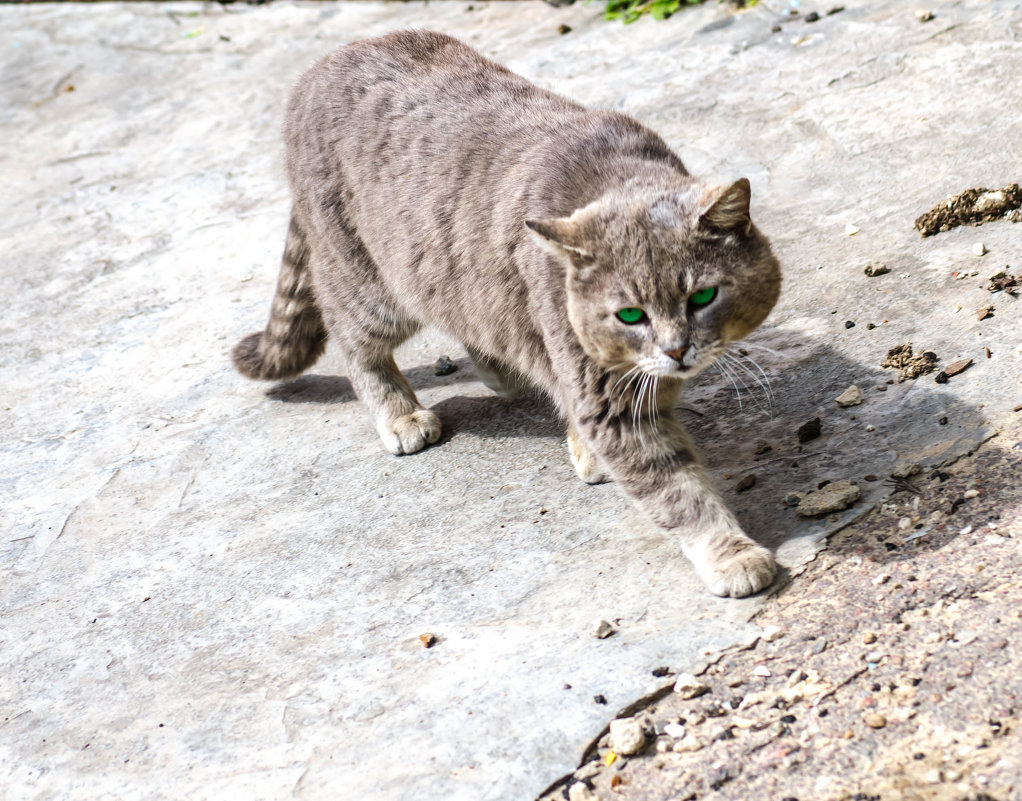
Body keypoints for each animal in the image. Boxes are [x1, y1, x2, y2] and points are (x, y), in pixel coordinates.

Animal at [234, 29, 780, 592]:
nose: (676, 351)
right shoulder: (610, 401)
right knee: (355, 342)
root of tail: (323, 64)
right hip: (373, 286)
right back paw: (401, 414)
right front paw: (730, 554)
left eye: (702, 297)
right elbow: (679, 490)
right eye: (630, 315)